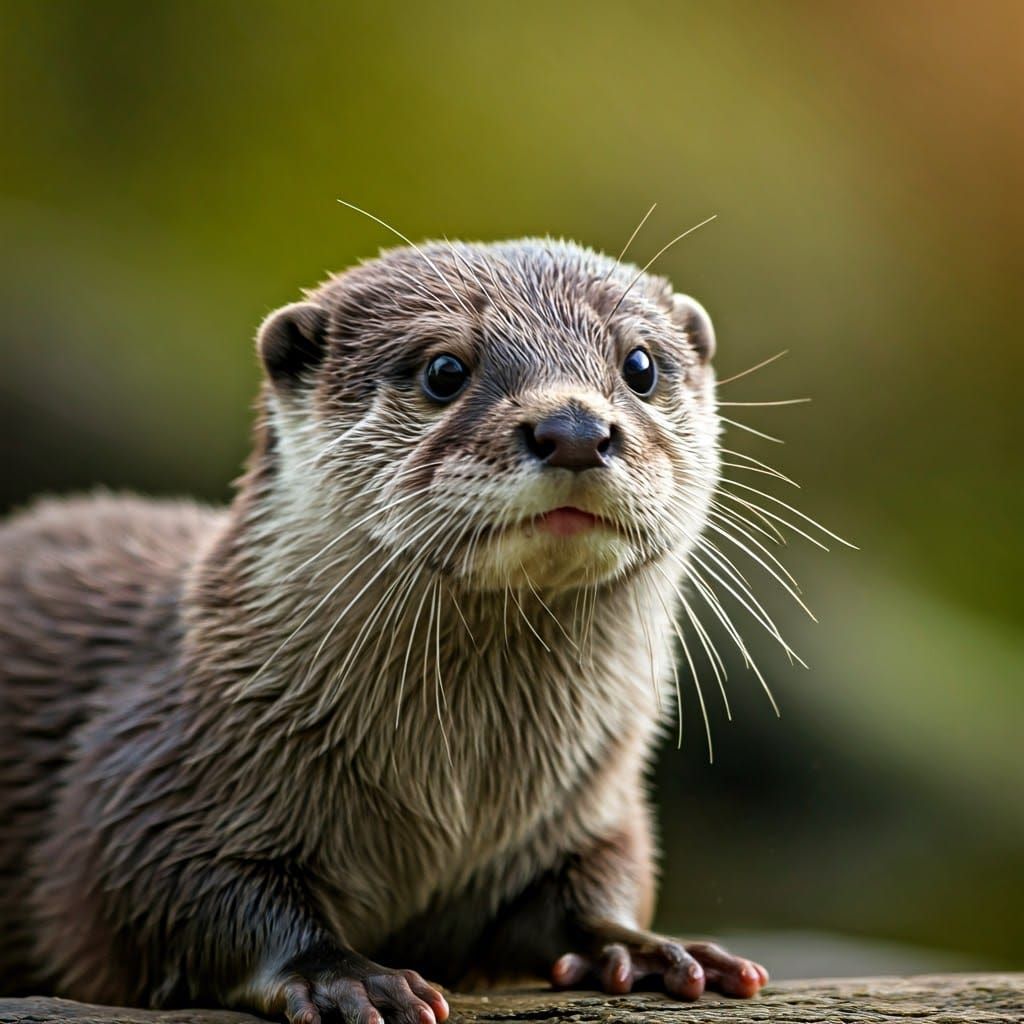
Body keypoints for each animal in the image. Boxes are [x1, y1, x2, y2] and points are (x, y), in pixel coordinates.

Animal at [0, 237, 775, 1023]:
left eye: (639, 365)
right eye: (445, 370)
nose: (575, 431)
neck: (455, 792)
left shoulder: (591, 804)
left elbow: (598, 882)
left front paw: (643, 948)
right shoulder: (152, 780)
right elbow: (172, 889)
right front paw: (346, 977)